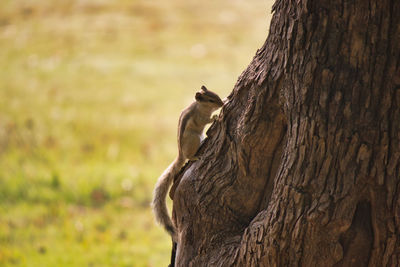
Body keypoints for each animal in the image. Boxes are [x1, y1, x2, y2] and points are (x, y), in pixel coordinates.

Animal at [152, 85, 223, 243]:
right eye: (210, 100)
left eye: (216, 95)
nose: (221, 104)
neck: (200, 107)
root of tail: (181, 155)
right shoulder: (200, 118)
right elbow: (206, 121)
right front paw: (216, 117)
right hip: (194, 138)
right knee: (189, 156)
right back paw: (195, 157)